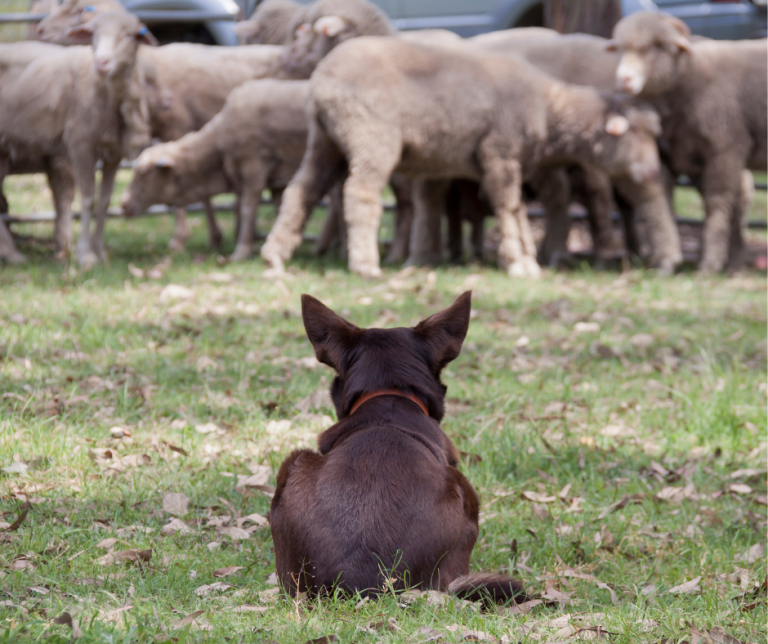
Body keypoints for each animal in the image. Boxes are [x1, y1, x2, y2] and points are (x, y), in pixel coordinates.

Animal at [0, 12, 154, 270]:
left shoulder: (114, 154)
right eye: (93, 35)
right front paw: (85, 255)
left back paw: (10, 253)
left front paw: (100, 251)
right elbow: (88, 200)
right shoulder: (80, 145)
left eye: (128, 35)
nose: (101, 62)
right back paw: (13, 254)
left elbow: (104, 201)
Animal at [121, 80, 308, 262]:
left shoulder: (253, 166)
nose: (123, 203)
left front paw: (241, 251)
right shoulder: (277, 179)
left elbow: (247, 209)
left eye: (144, 171)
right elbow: (281, 208)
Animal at [262, 35, 660, 276]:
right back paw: (365, 263)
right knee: (360, 193)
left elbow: (516, 208)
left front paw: (527, 258)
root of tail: (321, 79)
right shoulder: (499, 152)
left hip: (324, 139)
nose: (652, 171)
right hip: (369, 134)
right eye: (635, 132)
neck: (548, 109)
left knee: (302, 190)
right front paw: (518, 262)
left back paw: (275, 254)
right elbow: (507, 207)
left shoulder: (506, 161)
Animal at [608, 10, 764, 272]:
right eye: (620, 48)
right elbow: (664, 199)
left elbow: (718, 201)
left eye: (657, 46)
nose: (623, 79)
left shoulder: (726, 147)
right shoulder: (684, 155)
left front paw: (711, 263)